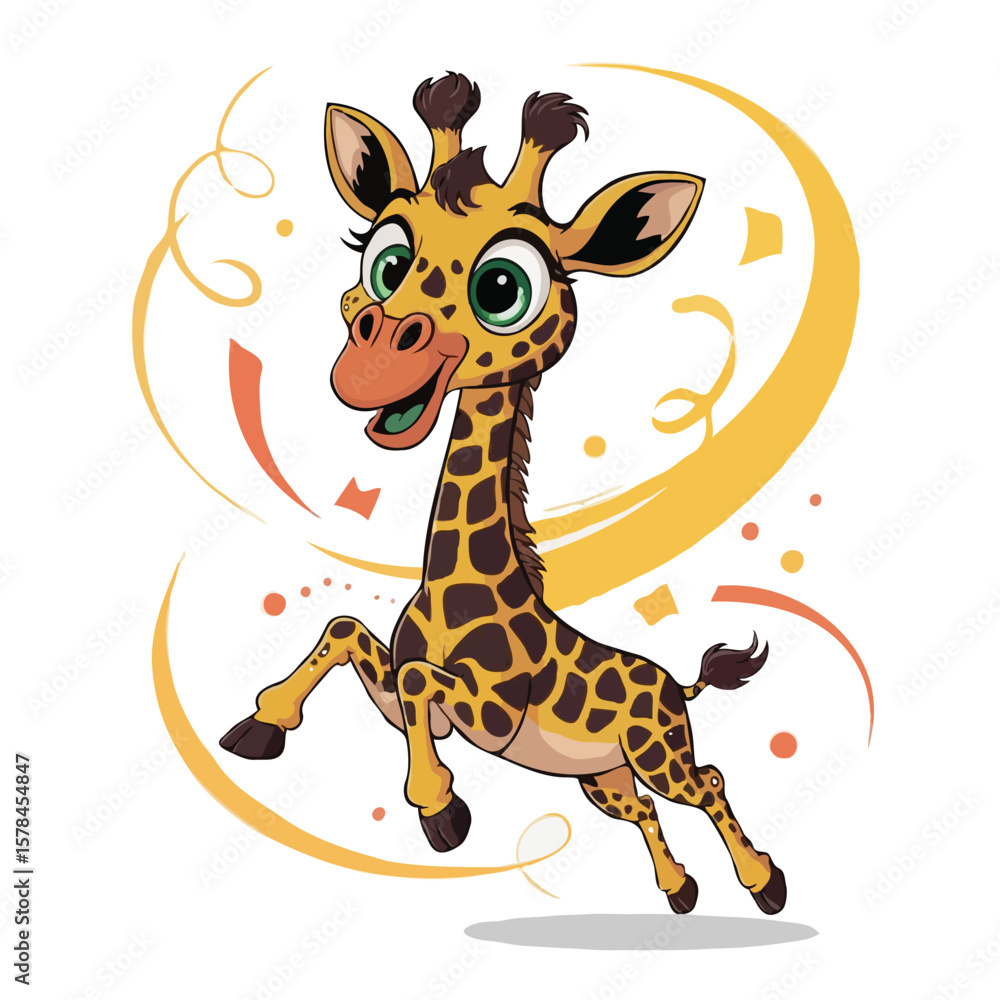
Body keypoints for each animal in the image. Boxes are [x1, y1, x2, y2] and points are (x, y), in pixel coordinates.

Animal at [220, 73, 786, 915]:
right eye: (385, 260)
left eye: (502, 288)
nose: (368, 366)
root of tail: (676, 683)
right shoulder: (415, 706)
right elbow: (349, 631)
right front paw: (262, 724)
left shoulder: (485, 711)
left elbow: (416, 677)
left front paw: (441, 809)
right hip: (602, 777)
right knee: (646, 811)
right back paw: (680, 891)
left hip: (658, 752)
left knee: (708, 782)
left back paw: (765, 883)